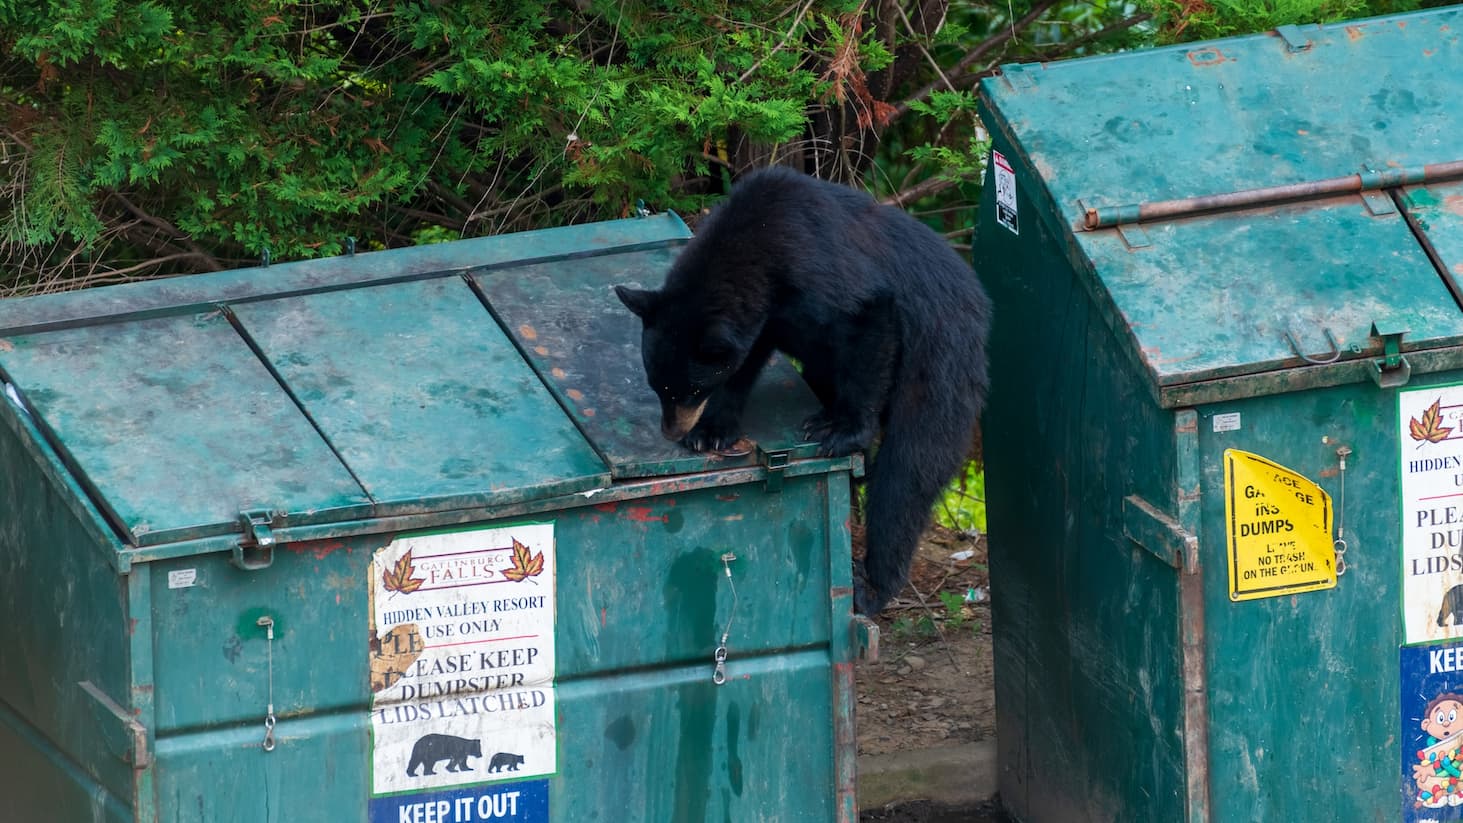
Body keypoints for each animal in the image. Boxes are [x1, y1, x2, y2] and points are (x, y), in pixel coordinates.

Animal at [615, 166, 991, 615]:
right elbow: (743, 362)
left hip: (939, 361)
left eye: (688, 390)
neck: (758, 245)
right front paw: (711, 431)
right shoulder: (762, 318)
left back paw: (871, 586)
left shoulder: (822, 270)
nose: (670, 430)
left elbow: (869, 316)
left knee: (909, 468)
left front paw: (841, 430)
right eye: (659, 386)